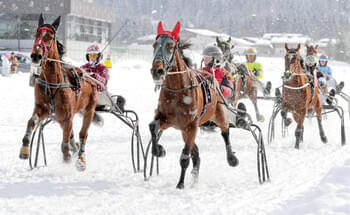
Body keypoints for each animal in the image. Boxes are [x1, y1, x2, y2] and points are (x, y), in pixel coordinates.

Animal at [18, 14, 98, 170]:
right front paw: (24, 149)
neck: (53, 84)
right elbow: (32, 121)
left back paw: (80, 158)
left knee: (82, 134)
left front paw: (68, 155)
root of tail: (89, 75)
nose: (36, 55)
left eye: (50, 37)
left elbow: (66, 142)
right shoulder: (43, 108)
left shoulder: (67, 117)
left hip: (89, 109)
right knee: (73, 135)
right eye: (36, 34)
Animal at [149, 21, 239, 189]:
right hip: (184, 130)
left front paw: (180, 184)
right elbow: (152, 127)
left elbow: (184, 157)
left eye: (170, 46)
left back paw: (231, 158)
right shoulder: (167, 119)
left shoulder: (192, 125)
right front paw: (159, 150)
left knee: (225, 131)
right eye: (154, 44)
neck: (177, 91)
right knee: (195, 152)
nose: (157, 71)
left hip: (219, 112)